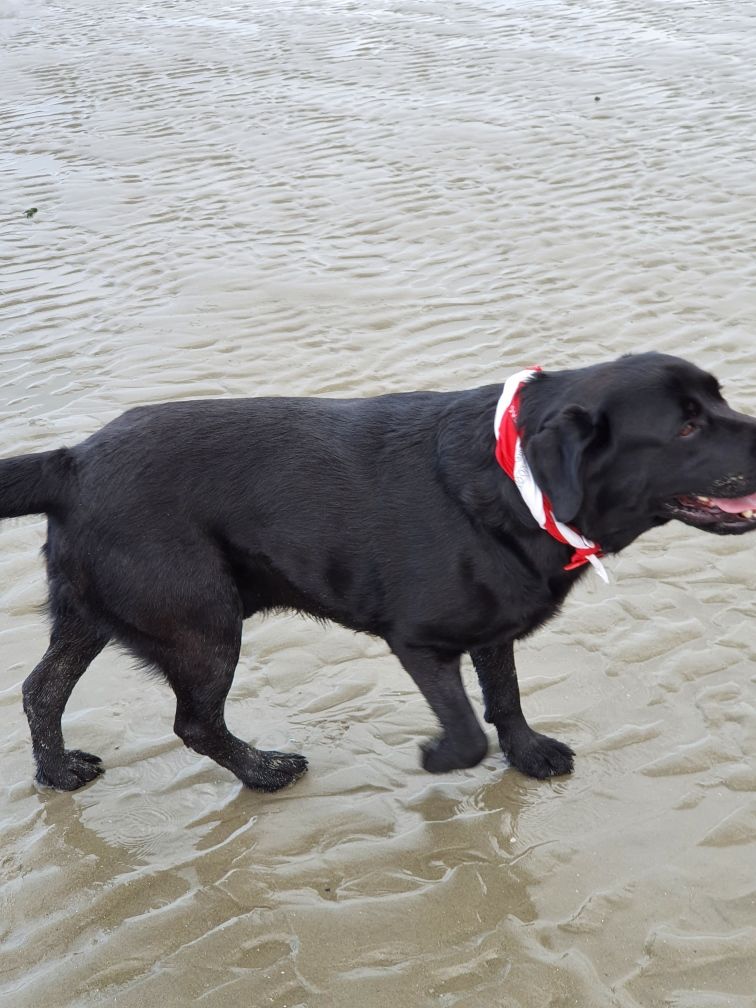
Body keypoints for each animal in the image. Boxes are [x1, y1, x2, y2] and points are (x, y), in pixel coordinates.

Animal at [4, 350, 756, 790]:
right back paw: (263, 771)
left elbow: (506, 699)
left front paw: (528, 754)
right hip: (202, 626)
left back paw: (57, 771)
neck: (515, 481)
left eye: (719, 398)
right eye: (685, 425)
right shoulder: (419, 641)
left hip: (96, 614)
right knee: (194, 723)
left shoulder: (493, 629)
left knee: (42, 690)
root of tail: (72, 461)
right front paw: (440, 758)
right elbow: (467, 729)